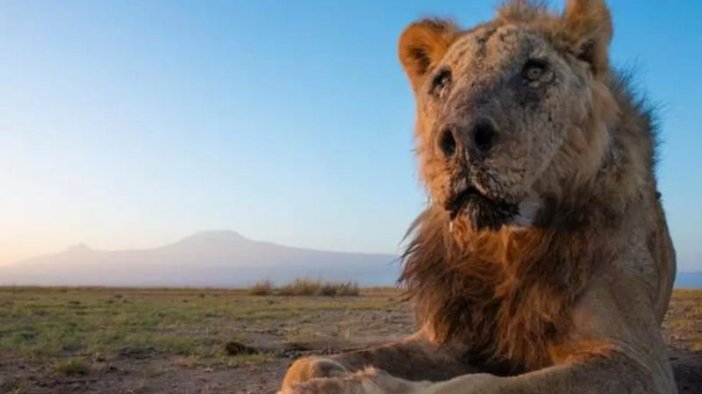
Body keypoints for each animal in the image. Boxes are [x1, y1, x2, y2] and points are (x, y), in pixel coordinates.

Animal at [280, 0, 676, 394]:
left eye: (534, 70)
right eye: (442, 80)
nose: (462, 137)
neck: (502, 244)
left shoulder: (636, 359)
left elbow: (476, 385)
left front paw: (355, 384)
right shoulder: (449, 337)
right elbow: (307, 362)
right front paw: (322, 374)